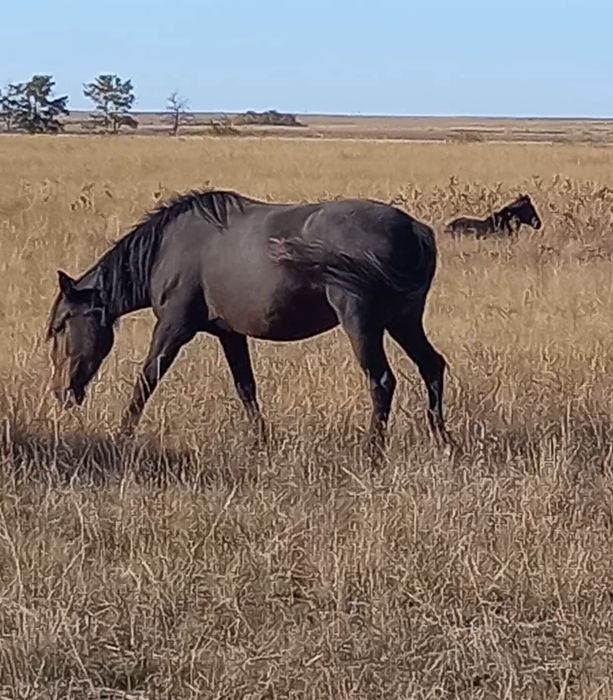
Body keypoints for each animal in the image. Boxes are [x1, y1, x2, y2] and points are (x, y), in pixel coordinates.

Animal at [46, 188, 449, 452]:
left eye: (61, 326)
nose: (61, 392)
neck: (166, 249)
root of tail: (415, 229)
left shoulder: (173, 328)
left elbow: (146, 380)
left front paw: (122, 435)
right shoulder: (230, 334)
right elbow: (246, 388)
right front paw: (261, 441)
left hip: (363, 322)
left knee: (381, 381)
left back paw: (372, 452)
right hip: (403, 321)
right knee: (432, 366)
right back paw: (443, 441)